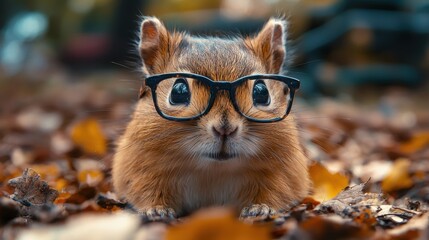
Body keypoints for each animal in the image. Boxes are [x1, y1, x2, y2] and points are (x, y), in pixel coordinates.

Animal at [112, 15, 310, 220]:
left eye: (262, 92)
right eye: (178, 91)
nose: (225, 129)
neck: (212, 171)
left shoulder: (283, 174)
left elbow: (276, 192)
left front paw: (260, 208)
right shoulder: (141, 170)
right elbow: (146, 192)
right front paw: (157, 209)